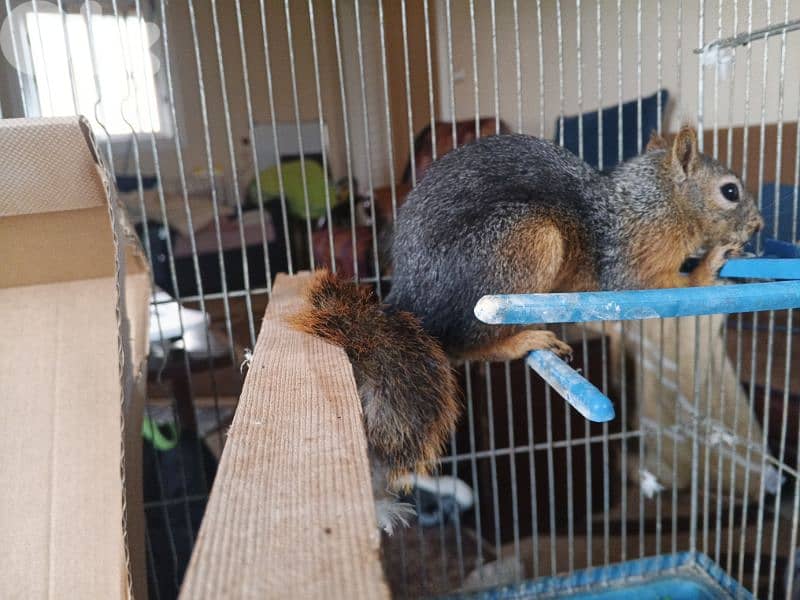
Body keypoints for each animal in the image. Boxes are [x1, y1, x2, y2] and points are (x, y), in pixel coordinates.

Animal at [290, 125, 763, 491]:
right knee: (464, 346)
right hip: (523, 243)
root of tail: (410, 298)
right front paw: (708, 267)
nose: (758, 225)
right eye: (730, 191)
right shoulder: (634, 260)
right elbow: (653, 283)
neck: (658, 202)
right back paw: (522, 340)